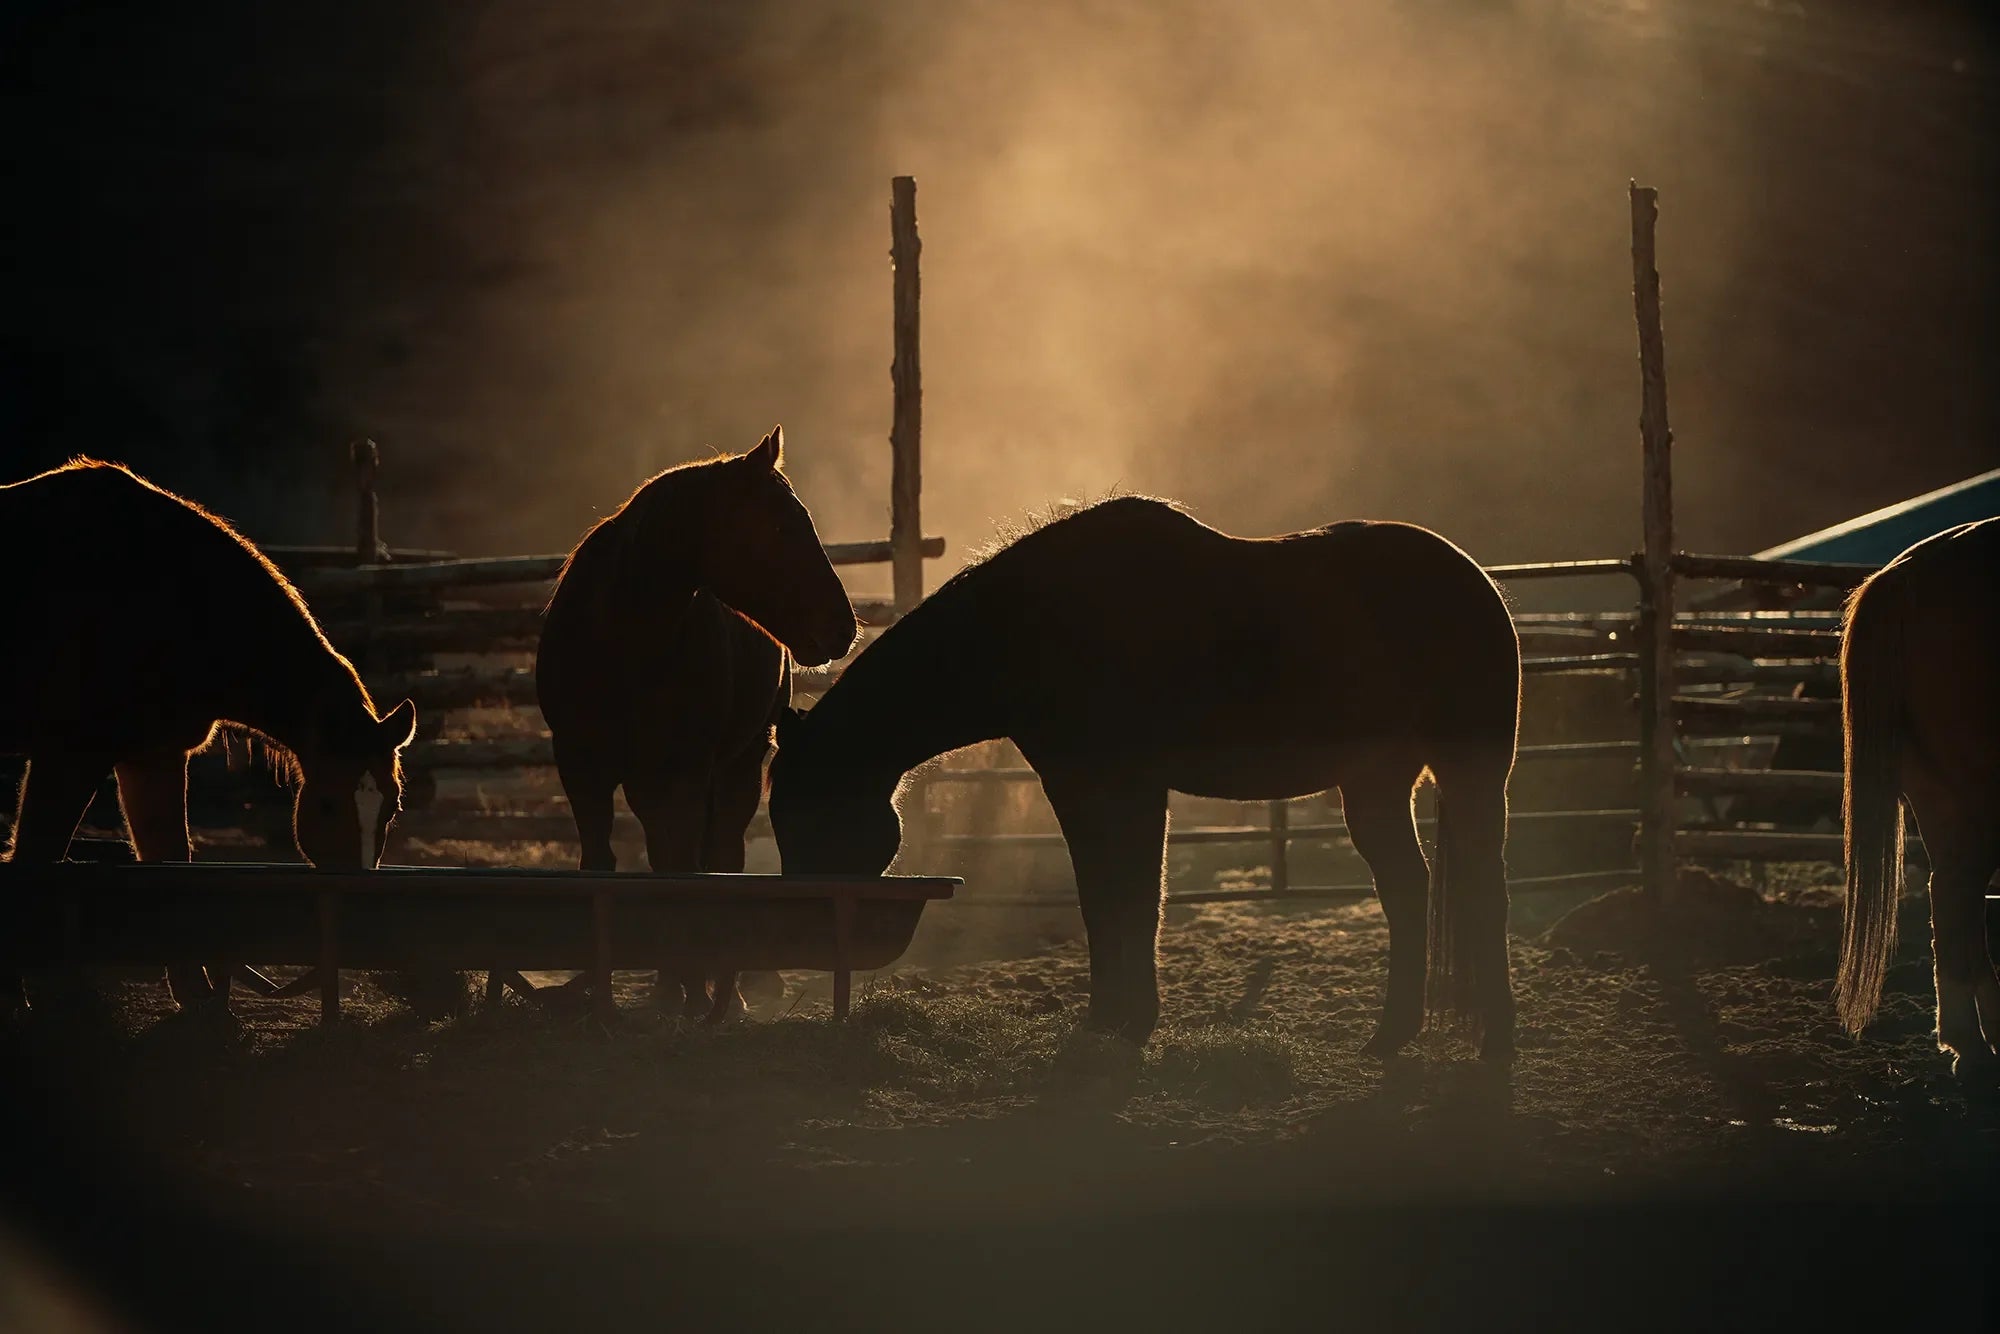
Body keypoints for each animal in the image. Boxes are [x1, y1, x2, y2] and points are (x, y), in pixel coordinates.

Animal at [0, 458, 418, 1011]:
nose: (357, 906)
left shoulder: (152, 756)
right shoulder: (68, 756)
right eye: (328, 805)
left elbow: (171, 859)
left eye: (391, 806)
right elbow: (33, 858)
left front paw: (197, 997)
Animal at [534, 426, 857, 1021]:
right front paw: (605, 991)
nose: (841, 627)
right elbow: (604, 865)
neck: (621, 643)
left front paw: (696, 991)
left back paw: (719, 992)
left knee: (720, 857)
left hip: (734, 769)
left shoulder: (680, 773)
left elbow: (685, 870)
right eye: (782, 527)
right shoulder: (581, 768)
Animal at [769, 496, 1521, 1056]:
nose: (804, 931)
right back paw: (1392, 1036)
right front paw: (1116, 1018)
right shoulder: (1085, 786)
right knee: (1408, 888)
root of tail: (1476, 580)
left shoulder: (1116, 785)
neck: (1037, 627)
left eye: (808, 814)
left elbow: (1128, 897)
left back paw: (1496, 1040)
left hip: (1472, 773)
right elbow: (1107, 897)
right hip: (1376, 784)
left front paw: (1126, 1020)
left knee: (1485, 886)